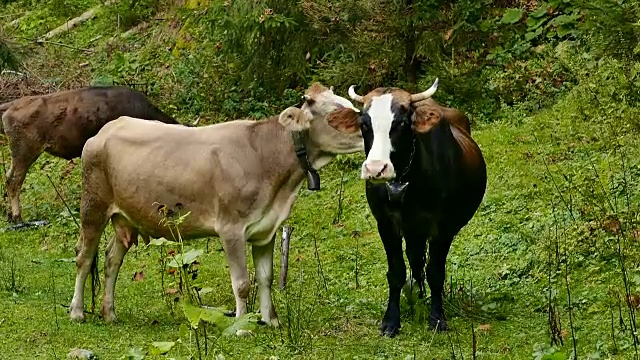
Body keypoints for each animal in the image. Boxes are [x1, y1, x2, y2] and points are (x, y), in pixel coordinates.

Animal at [70, 83, 362, 326]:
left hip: (126, 218)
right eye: (336, 113)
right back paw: (77, 312)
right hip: (93, 207)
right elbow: (242, 283)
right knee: (84, 257)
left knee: (111, 260)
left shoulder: (266, 229)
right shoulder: (231, 228)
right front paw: (241, 326)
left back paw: (110, 313)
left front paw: (270, 321)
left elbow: (265, 278)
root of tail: (108, 128)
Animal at [328, 80, 488, 336]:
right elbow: (396, 272)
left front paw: (437, 318)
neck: (402, 181)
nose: (376, 169)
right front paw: (391, 320)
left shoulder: (442, 227)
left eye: (402, 123)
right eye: (364, 124)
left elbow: (436, 272)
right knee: (415, 260)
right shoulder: (386, 224)